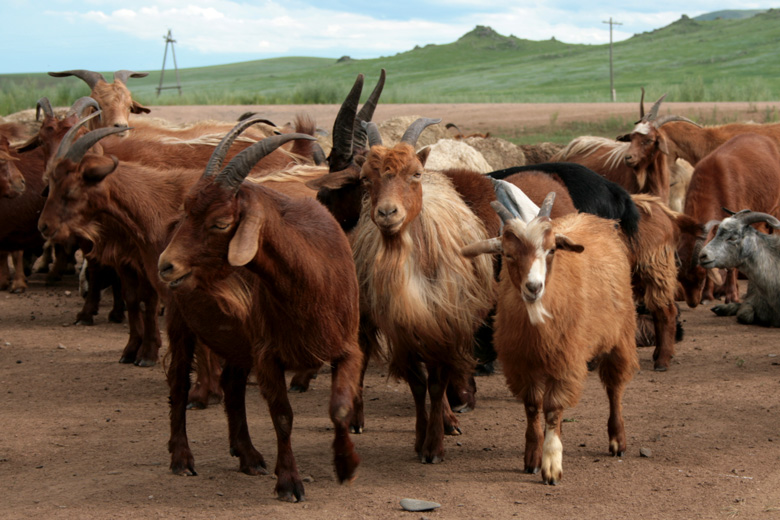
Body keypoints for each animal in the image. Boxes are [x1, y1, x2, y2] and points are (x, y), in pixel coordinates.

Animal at [159, 124, 366, 502]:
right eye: (188, 211)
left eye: (221, 222)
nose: (166, 265)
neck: (312, 279)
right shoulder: (268, 354)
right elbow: (282, 417)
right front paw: (289, 482)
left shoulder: (347, 348)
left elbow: (340, 408)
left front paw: (346, 465)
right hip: (181, 324)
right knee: (178, 383)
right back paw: (181, 458)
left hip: (239, 341)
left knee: (232, 383)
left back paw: (248, 455)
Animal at [460, 193, 636, 486]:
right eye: (508, 254)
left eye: (552, 250)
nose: (533, 287)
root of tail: (594, 219)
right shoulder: (521, 363)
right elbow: (533, 407)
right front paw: (533, 456)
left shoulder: (566, 360)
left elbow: (553, 409)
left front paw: (552, 464)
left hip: (620, 336)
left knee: (615, 388)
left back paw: (617, 440)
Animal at [676, 132, 780, 308]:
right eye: (680, 277)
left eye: (701, 276)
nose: (692, 303)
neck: (714, 182)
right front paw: (708, 295)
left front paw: (731, 296)